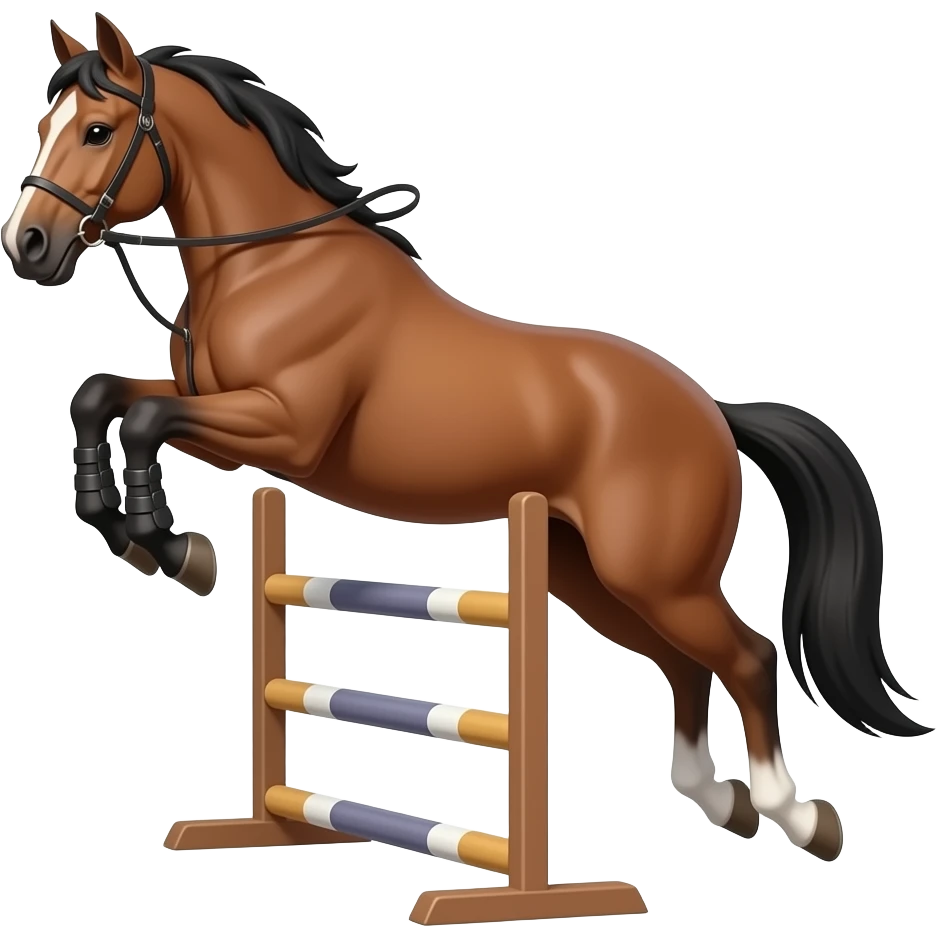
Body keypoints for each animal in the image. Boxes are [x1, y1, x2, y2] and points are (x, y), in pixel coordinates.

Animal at [9, 15, 926, 865]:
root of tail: (711, 410)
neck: (273, 265)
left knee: (748, 658)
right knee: (688, 665)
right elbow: (101, 398)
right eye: (44, 125)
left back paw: (796, 814)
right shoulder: (224, 418)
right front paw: (142, 537)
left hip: (655, 576)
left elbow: (142, 420)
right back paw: (717, 797)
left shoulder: (282, 428)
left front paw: (172, 548)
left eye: (98, 131)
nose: (28, 246)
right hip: (592, 575)